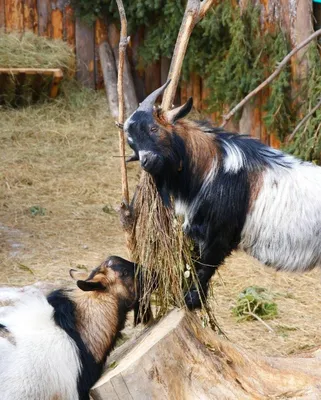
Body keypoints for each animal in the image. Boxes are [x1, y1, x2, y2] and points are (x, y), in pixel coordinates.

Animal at [124, 80, 320, 310]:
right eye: (132, 143)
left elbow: (205, 268)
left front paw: (191, 300)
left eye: (153, 128)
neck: (213, 168)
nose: (146, 161)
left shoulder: (220, 234)